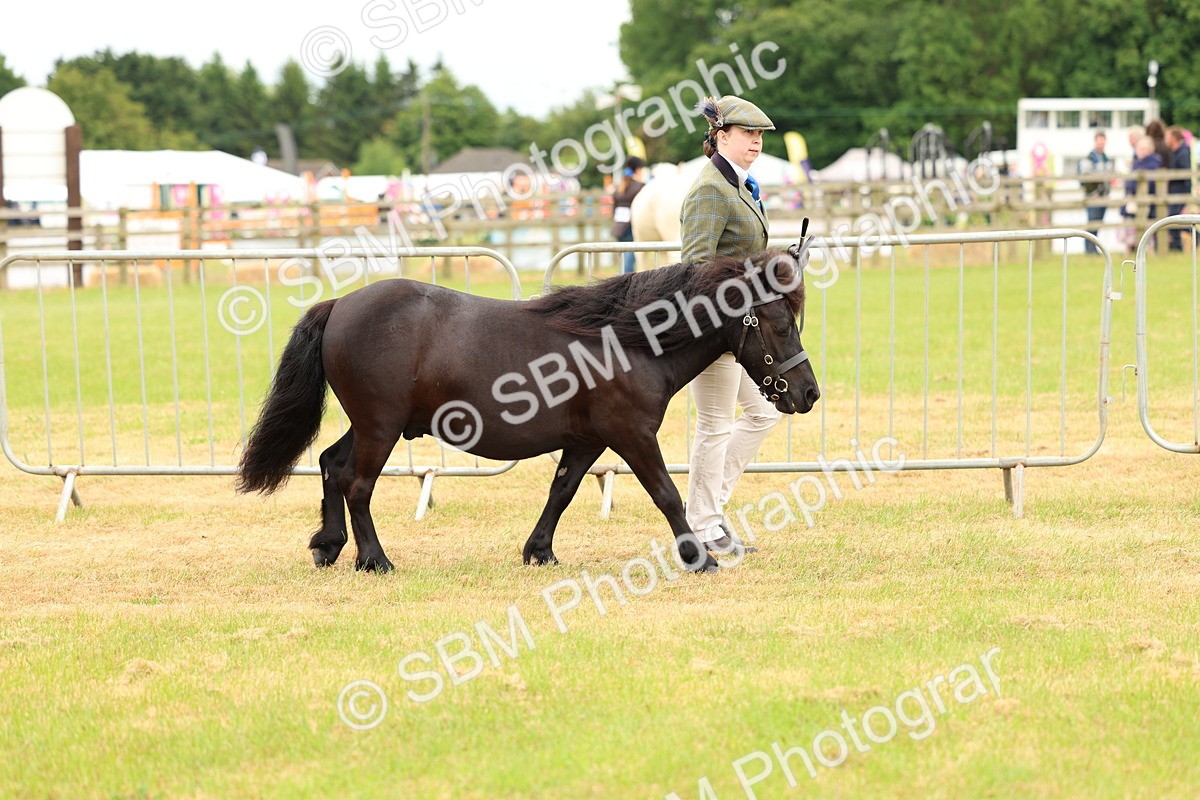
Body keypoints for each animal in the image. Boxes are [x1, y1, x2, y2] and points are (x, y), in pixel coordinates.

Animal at [236, 249, 820, 574]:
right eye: (779, 323)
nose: (809, 393)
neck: (628, 341)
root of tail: (340, 304)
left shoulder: (587, 441)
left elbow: (561, 493)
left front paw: (539, 552)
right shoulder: (631, 435)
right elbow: (666, 494)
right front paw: (701, 558)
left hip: (370, 426)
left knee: (331, 466)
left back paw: (329, 547)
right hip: (380, 428)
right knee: (356, 485)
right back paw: (375, 560)